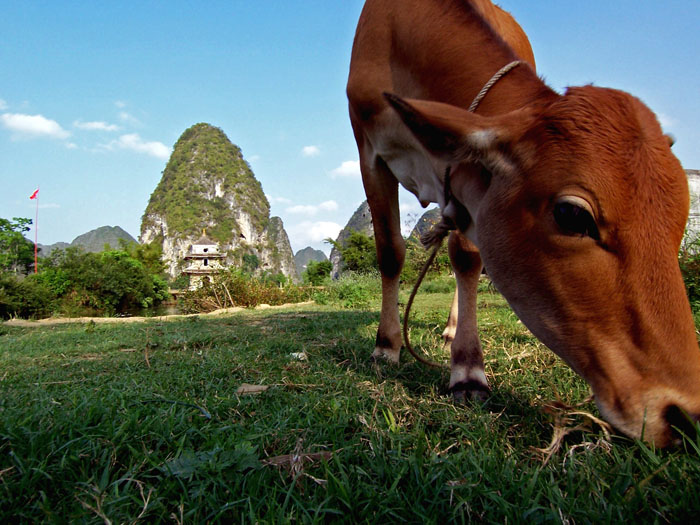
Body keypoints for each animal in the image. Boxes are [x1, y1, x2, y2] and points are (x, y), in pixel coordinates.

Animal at [346, 0, 700, 446]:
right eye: (572, 214)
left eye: (681, 218)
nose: (684, 414)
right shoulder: (370, 153)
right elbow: (390, 252)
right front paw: (386, 346)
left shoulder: (467, 179)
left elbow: (466, 258)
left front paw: (467, 368)